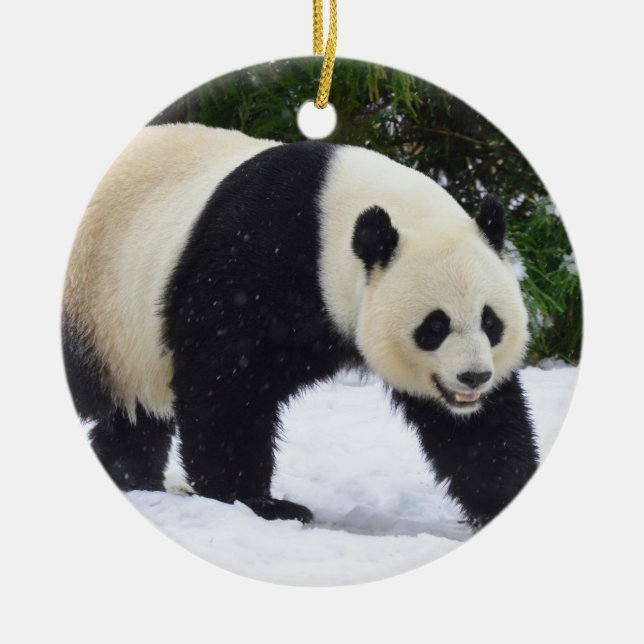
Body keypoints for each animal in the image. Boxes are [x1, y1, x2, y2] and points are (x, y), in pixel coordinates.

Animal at [63, 123, 539, 529]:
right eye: (434, 326)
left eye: (490, 321)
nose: (473, 377)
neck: (329, 218)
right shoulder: (251, 260)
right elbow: (225, 385)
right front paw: (258, 504)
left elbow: (479, 429)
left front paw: (504, 495)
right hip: (95, 298)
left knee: (131, 420)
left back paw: (131, 478)